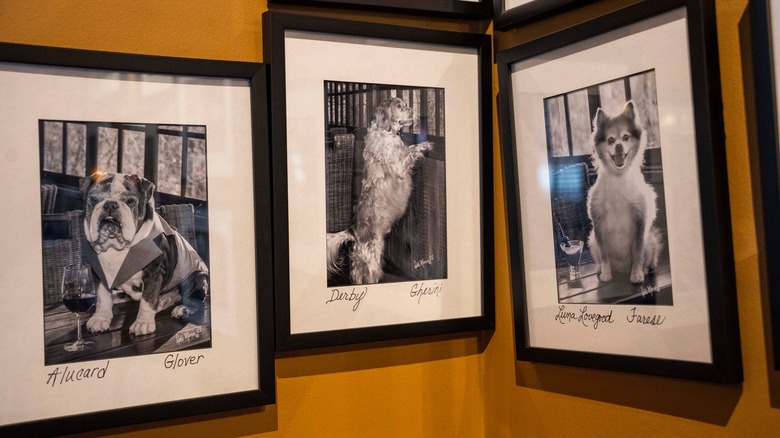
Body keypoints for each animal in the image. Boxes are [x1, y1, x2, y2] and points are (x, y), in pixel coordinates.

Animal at [324, 96, 432, 284]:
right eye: (399, 106)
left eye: (405, 105)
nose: (412, 110)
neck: (386, 132)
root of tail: (353, 232)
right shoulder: (399, 167)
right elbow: (413, 150)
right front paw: (427, 145)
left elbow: (410, 148)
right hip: (372, 261)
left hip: (358, 264)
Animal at [588, 99, 660, 284]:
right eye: (610, 140)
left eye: (626, 137)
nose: (619, 146)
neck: (618, 177)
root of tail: (621, 269)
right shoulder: (599, 222)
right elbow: (604, 253)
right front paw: (606, 272)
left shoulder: (640, 220)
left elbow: (637, 251)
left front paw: (637, 273)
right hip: (592, 240)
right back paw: (600, 268)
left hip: (650, 240)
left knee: (648, 259)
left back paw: (644, 270)